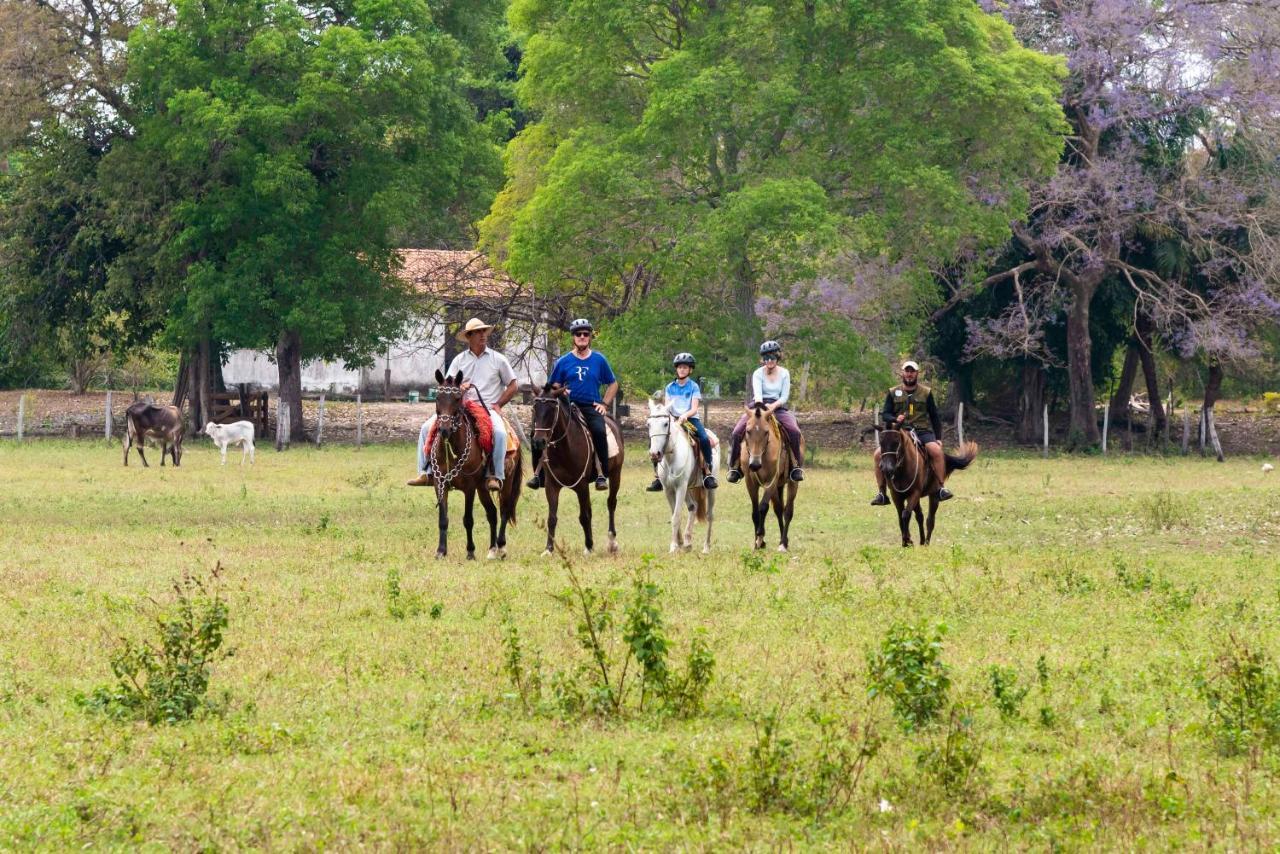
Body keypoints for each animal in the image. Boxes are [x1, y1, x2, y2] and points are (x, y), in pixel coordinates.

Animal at [427, 368, 522, 560]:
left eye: (457, 398)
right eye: (438, 397)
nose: (444, 429)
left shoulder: (469, 487)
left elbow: (468, 519)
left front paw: (470, 551)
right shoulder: (440, 483)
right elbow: (443, 519)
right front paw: (441, 551)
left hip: (506, 482)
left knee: (504, 510)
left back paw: (501, 547)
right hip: (483, 487)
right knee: (492, 513)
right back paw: (492, 549)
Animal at [527, 384, 622, 558]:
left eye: (552, 409)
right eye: (534, 408)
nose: (538, 441)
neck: (565, 449)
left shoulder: (581, 486)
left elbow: (584, 516)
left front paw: (589, 547)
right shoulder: (551, 486)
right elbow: (552, 518)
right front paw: (548, 549)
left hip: (615, 475)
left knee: (611, 503)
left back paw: (612, 542)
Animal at [645, 402, 716, 555]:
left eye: (666, 423)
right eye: (648, 424)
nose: (654, 454)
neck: (671, 456)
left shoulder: (680, 487)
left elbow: (676, 516)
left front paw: (673, 546)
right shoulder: (668, 489)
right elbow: (673, 515)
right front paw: (679, 542)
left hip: (709, 490)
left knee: (709, 515)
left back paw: (706, 547)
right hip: (688, 488)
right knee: (693, 506)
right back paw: (688, 542)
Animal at [742, 402, 798, 550]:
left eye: (766, 432)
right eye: (748, 431)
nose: (755, 464)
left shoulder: (770, 481)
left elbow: (763, 507)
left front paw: (760, 536)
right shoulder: (750, 483)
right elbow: (755, 512)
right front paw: (757, 542)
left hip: (792, 483)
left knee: (788, 511)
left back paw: (783, 543)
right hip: (778, 486)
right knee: (779, 509)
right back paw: (783, 541)